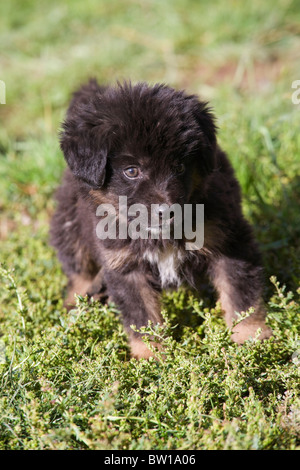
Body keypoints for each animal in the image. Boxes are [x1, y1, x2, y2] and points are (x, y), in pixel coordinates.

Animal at [51, 80, 272, 360]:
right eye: (131, 171)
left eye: (179, 167)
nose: (167, 211)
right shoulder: (125, 265)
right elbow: (142, 316)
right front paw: (151, 357)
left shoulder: (229, 240)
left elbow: (240, 295)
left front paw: (251, 338)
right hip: (69, 227)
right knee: (78, 270)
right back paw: (75, 307)